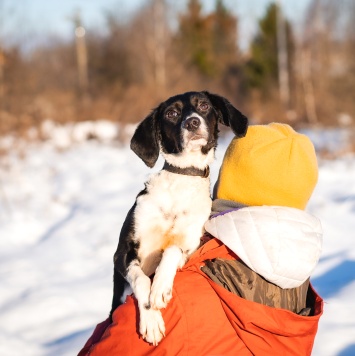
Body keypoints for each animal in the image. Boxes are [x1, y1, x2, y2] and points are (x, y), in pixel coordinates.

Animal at [110, 91, 249, 344]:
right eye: (171, 113)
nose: (192, 122)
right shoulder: (122, 253)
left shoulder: (192, 243)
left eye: (203, 106)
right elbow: (141, 279)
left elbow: (173, 249)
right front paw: (151, 319)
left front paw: (160, 287)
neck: (182, 179)